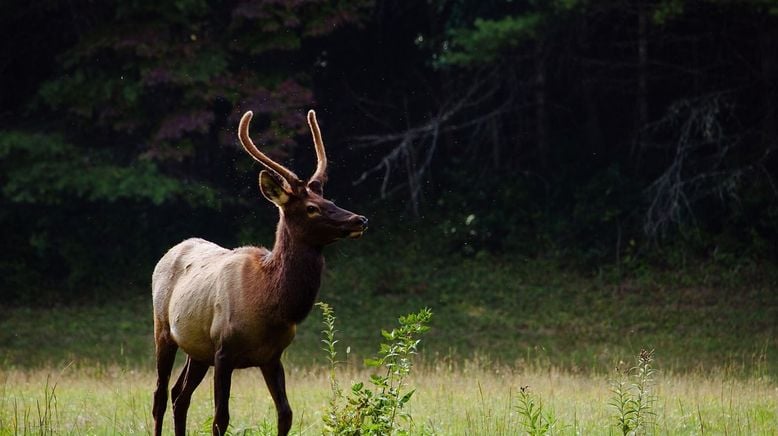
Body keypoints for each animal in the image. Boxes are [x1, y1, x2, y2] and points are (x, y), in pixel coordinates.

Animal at [153, 110, 368, 436]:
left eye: (330, 201)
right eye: (311, 208)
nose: (359, 219)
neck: (269, 304)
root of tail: (168, 252)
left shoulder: (272, 356)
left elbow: (286, 414)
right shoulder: (224, 350)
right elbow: (220, 418)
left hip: (197, 349)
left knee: (180, 395)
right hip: (163, 329)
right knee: (161, 397)